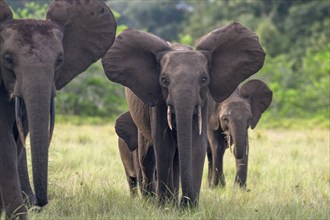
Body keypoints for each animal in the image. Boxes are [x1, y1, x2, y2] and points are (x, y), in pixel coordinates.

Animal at [0, 0, 116, 217]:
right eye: (8, 59)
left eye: (60, 60)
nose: (41, 203)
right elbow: (5, 144)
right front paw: (18, 216)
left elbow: (17, 140)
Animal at [103, 22, 266, 208]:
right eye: (164, 80)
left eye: (204, 79)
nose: (185, 202)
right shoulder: (159, 101)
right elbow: (164, 145)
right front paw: (164, 207)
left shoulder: (204, 102)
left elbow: (195, 144)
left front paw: (187, 208)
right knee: (147, 157)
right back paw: (152, 201)